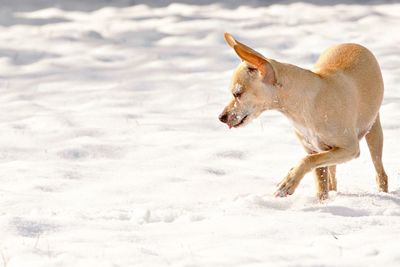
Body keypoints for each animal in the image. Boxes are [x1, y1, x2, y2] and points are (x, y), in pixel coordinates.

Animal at [219, 32, 388, 201]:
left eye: (237, 93)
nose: (221, 117)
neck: (301, 107)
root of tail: (353, 44)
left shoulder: (349, 149)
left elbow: (307, 161)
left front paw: (288, 183)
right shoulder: (314, 150)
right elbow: (319, 179)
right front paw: (321, 203)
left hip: (374, 132)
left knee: (381, 173)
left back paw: (383, 192)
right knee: (332, 178)